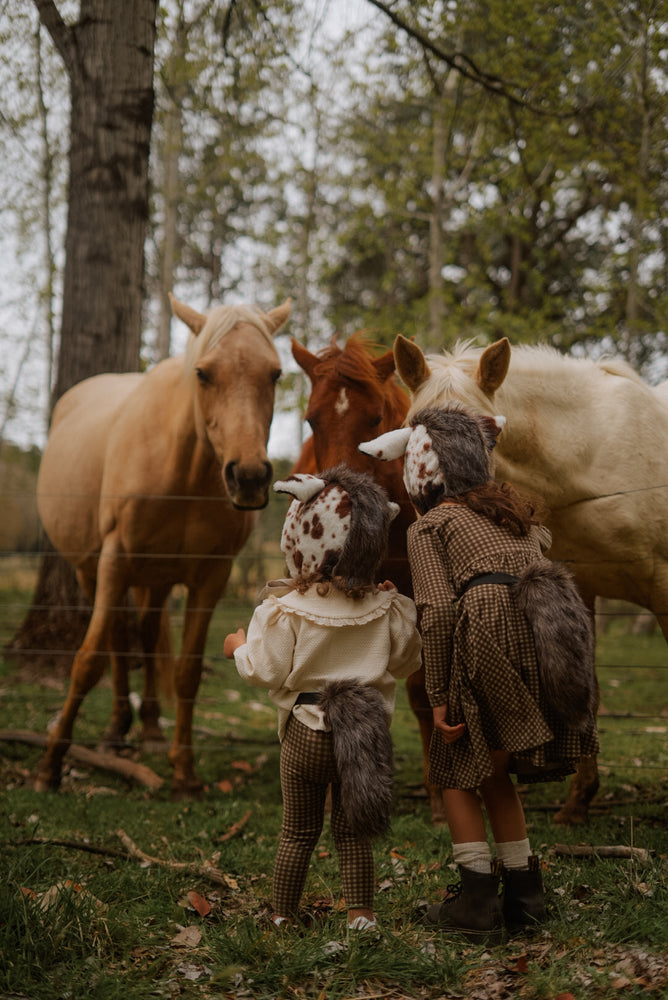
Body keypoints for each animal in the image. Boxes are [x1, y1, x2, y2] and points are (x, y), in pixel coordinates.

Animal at [34, 292, 290, 800]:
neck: (183, 470)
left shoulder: (211, 575)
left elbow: (187, 671)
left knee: (148, 636)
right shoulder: (114, 561)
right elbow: (88, 660)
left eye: (274, 374)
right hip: (94, 571)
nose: (249, 477)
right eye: (203, 373)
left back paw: (149, 728)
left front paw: (185, 772)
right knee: (118, 639)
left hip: (155, 579)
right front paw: (52, 762)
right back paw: (116, 731)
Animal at [392, 332, 668, 824]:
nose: (433, 495)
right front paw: (578, 803)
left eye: (491, 433)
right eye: (410, 427)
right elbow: (587, 690)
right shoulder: (581, 591)